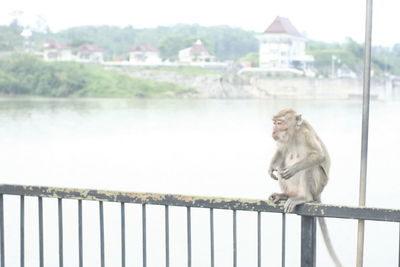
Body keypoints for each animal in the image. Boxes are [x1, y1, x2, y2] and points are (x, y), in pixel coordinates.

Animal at [268, 109, 340, 267]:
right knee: (282, 164)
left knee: (310, 168)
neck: (294, 134)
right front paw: (270, 168)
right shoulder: (283, 141)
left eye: (279, 123)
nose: (273, 130)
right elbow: (280, 152)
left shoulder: (306, 135)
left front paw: (294, 168)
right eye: (274, 122)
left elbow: (319, 156)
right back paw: (284, 195)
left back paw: (304, 198)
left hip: (317, 186)